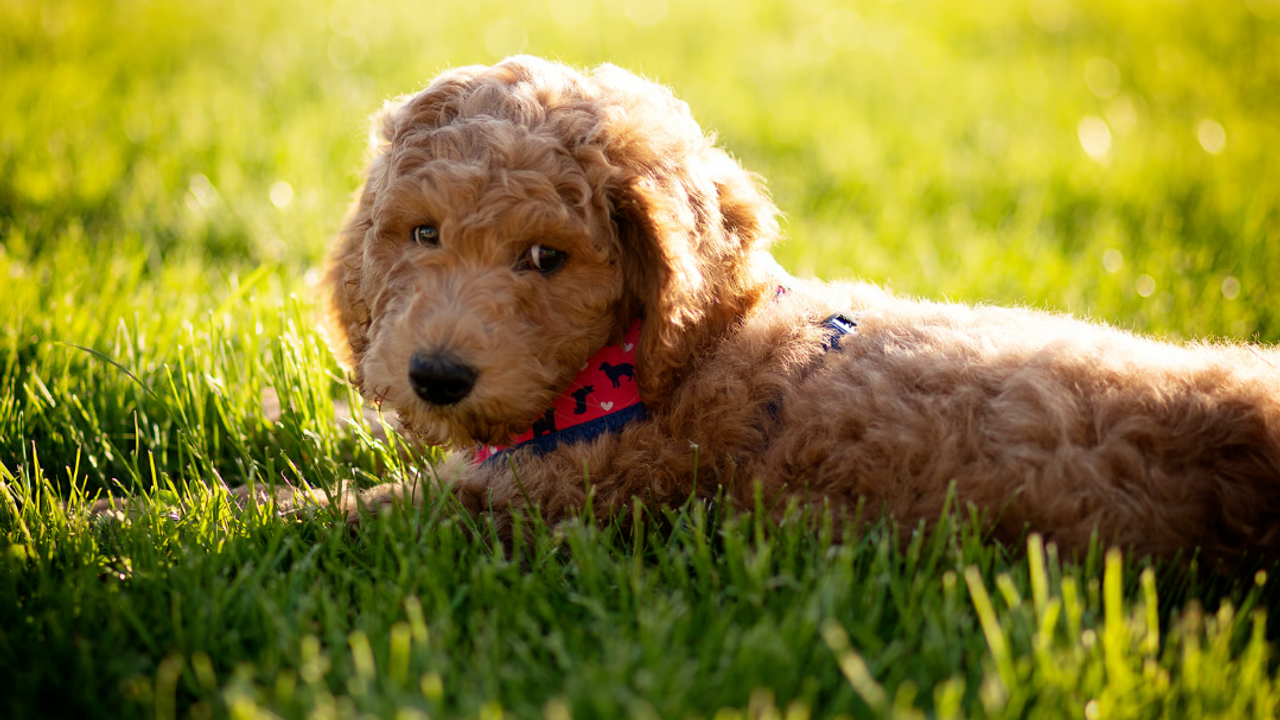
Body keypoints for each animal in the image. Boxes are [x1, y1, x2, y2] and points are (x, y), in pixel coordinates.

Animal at [324, 56, 1280, 562]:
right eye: (421, 234)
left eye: (544, 258)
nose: (435, 376)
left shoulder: (545, 503)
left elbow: (375, 511)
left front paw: (284, 511)